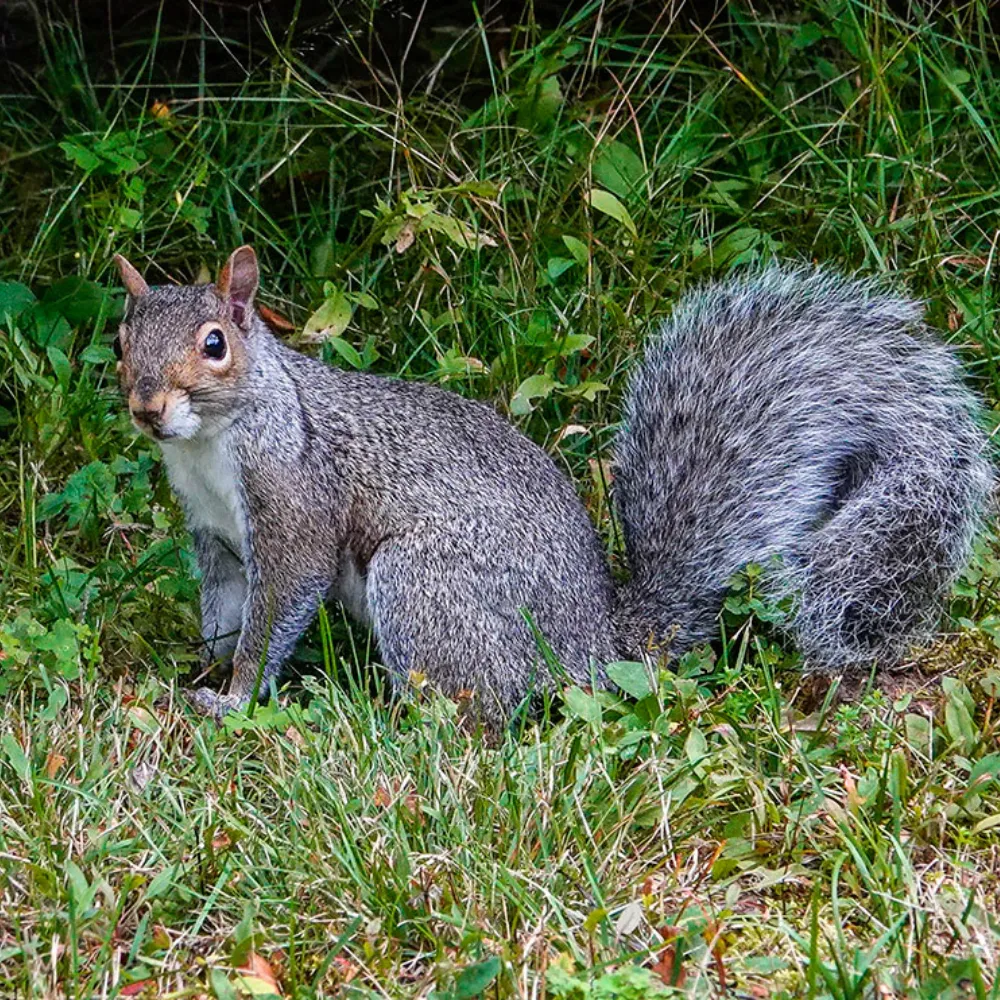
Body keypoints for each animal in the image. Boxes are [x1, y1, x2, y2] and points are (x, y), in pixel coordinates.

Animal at [111, 246, 992, 724]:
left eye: (216, 344)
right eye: (120, 340)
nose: (147, 408)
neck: (211, 444)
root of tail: (595, 644)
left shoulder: (292, 505)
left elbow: (276, 608)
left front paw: (233, 699)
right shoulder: (216, 535)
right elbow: (224, 612)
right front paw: (199, 673)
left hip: (427, 584)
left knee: (484, 711)